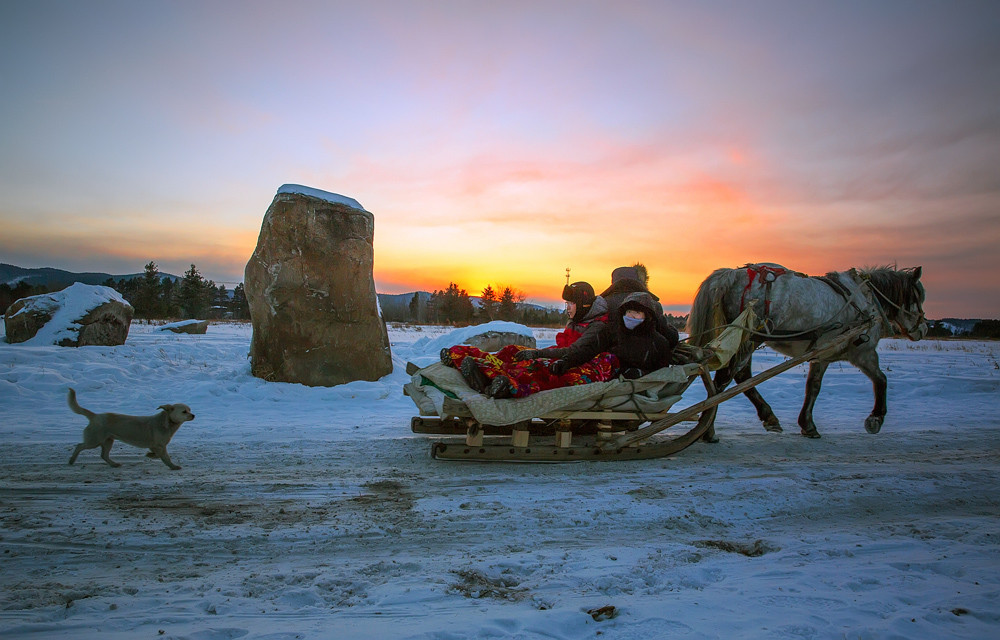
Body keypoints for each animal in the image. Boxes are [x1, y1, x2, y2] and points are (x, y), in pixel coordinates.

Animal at [66, 384, 195, 470]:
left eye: (189, 409)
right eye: (184, 411)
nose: (193, 415)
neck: (166, 422)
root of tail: (95, 416)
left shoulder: (156, 446)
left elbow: (158, 455)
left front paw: (151, 455)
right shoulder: (159, 445)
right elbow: (165, 457)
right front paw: (173, 466)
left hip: (108, 441)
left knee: (103, 455)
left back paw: (114, 464)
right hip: (94, 440)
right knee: (79, 446)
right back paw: (71, 460)